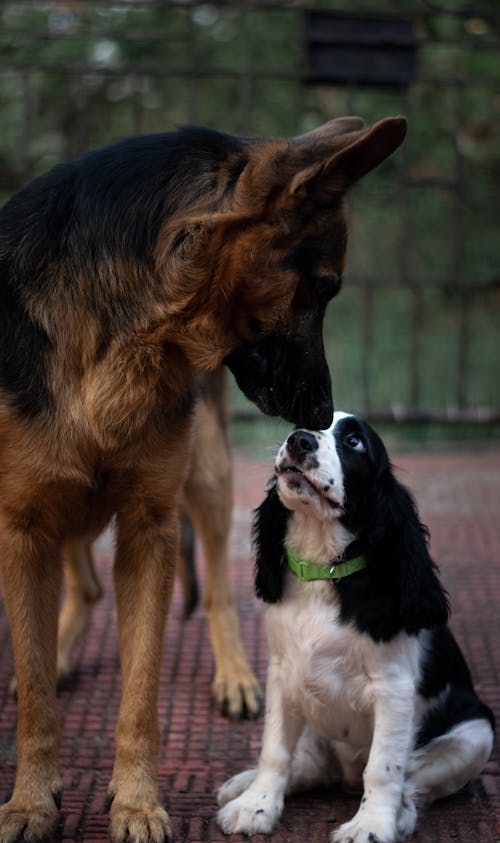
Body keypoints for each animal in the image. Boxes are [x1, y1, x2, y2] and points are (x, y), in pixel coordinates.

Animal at [0, 118, 406, 843]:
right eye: (322, 288)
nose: (319, 417)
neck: (124, 335)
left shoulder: (150, 529)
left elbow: (140, 694)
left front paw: (136, 803)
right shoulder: (22, 525)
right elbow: (37, 694)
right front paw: (31, 800)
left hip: (208, 478)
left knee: (216, 585)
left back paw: (235, 676)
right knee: (82, 584)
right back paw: (66, 649)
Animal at [217, 412, 494, 840]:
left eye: (354, 442)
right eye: (299, 424)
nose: (299, 441)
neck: (322, 571)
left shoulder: (394, 690)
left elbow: (382, 768)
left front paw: (370, 825)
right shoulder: (282, 673)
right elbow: (275, 751)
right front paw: (256, 806)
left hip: (476, 735)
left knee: (414, 781)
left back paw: (400, 815)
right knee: (310, 766)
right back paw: (243, 784)